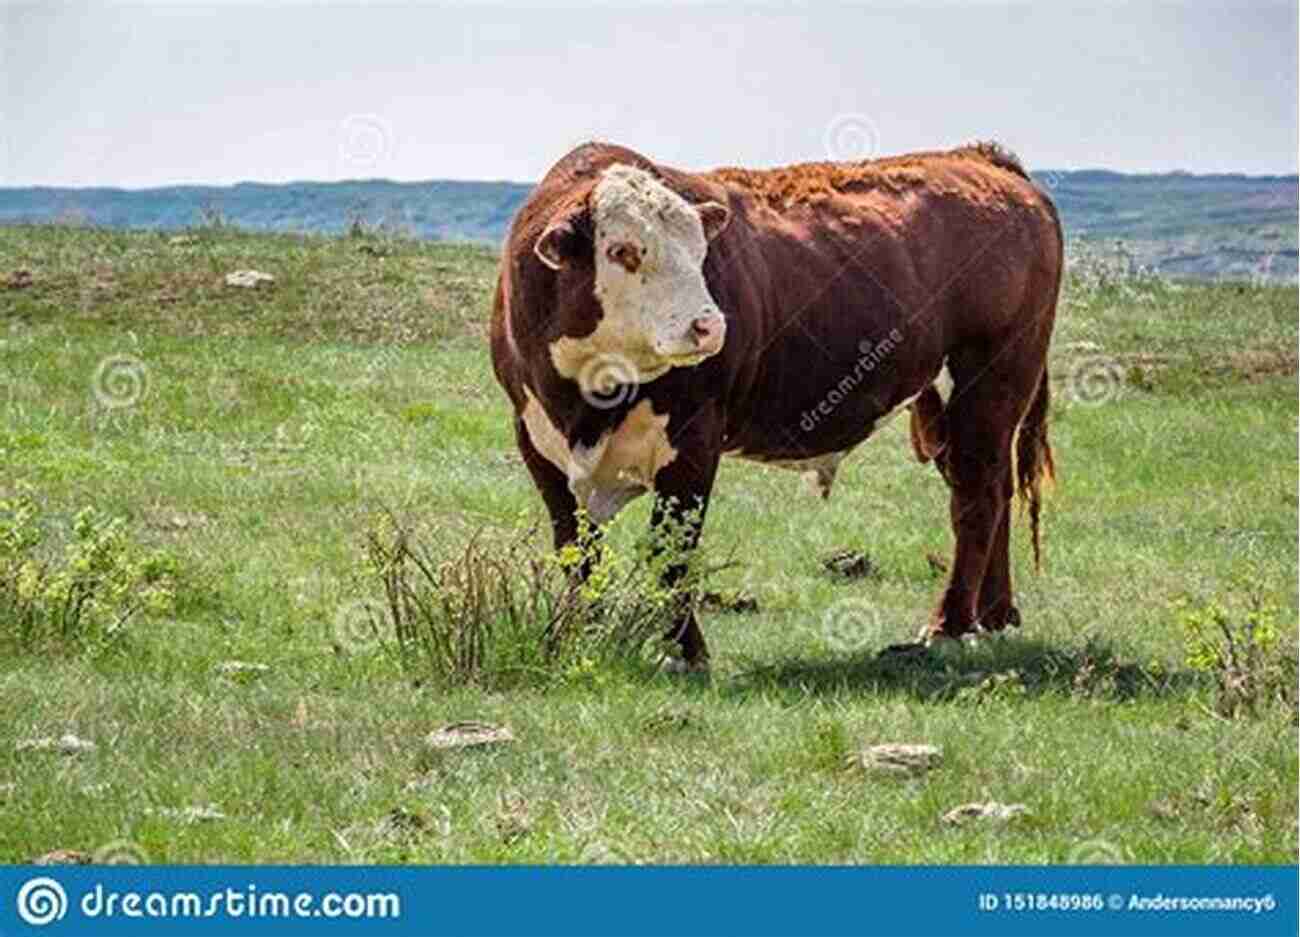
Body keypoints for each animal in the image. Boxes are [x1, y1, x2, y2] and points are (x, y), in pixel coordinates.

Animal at [488, 139, 1055, 670]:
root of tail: (980, 159)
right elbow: (576, 551)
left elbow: (673, 549)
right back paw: (995, 615)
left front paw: (682, 652)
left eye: (700, 251)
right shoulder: (535, 442)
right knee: (993, 487)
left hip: (991, 382)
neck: (589, 401)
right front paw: (576, 638)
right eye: (624, 251)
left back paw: (949, 626)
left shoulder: (694, 439)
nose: (709, 325)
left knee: (977, 498)